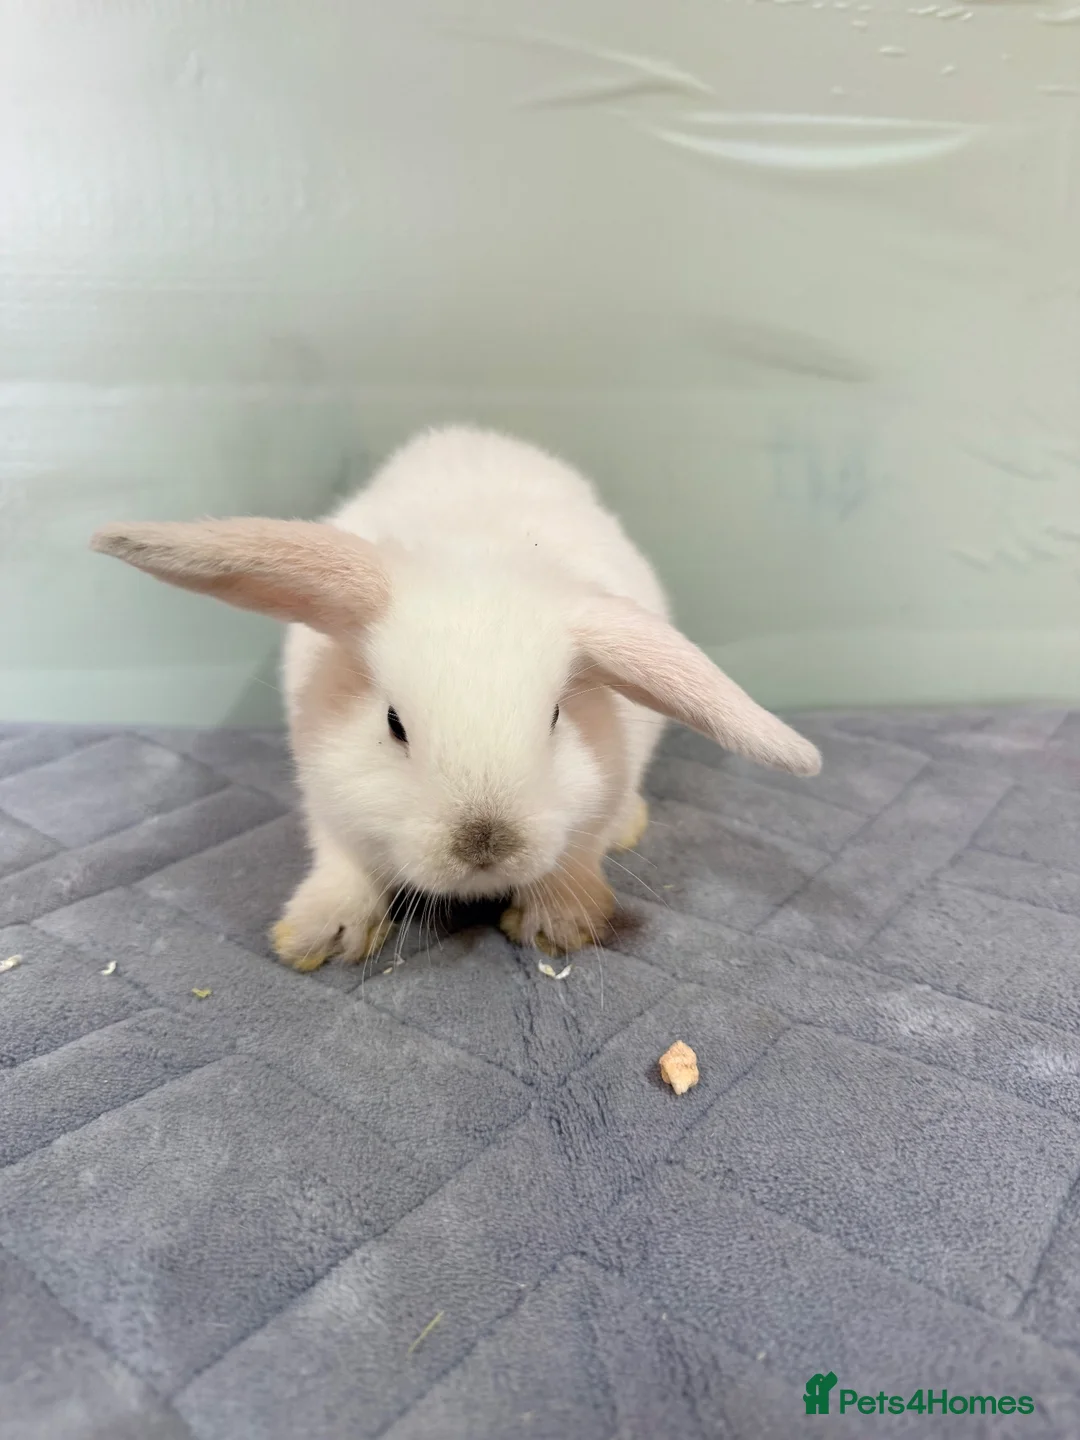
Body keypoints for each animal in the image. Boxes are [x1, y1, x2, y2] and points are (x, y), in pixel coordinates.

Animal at [91, 425, 821, 969]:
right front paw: (320, 936)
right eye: (393, 723)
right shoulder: (327, 799)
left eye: (556, 717)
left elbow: (577, 853)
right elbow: (342, 862)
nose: (484, 846)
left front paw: (559, 924)